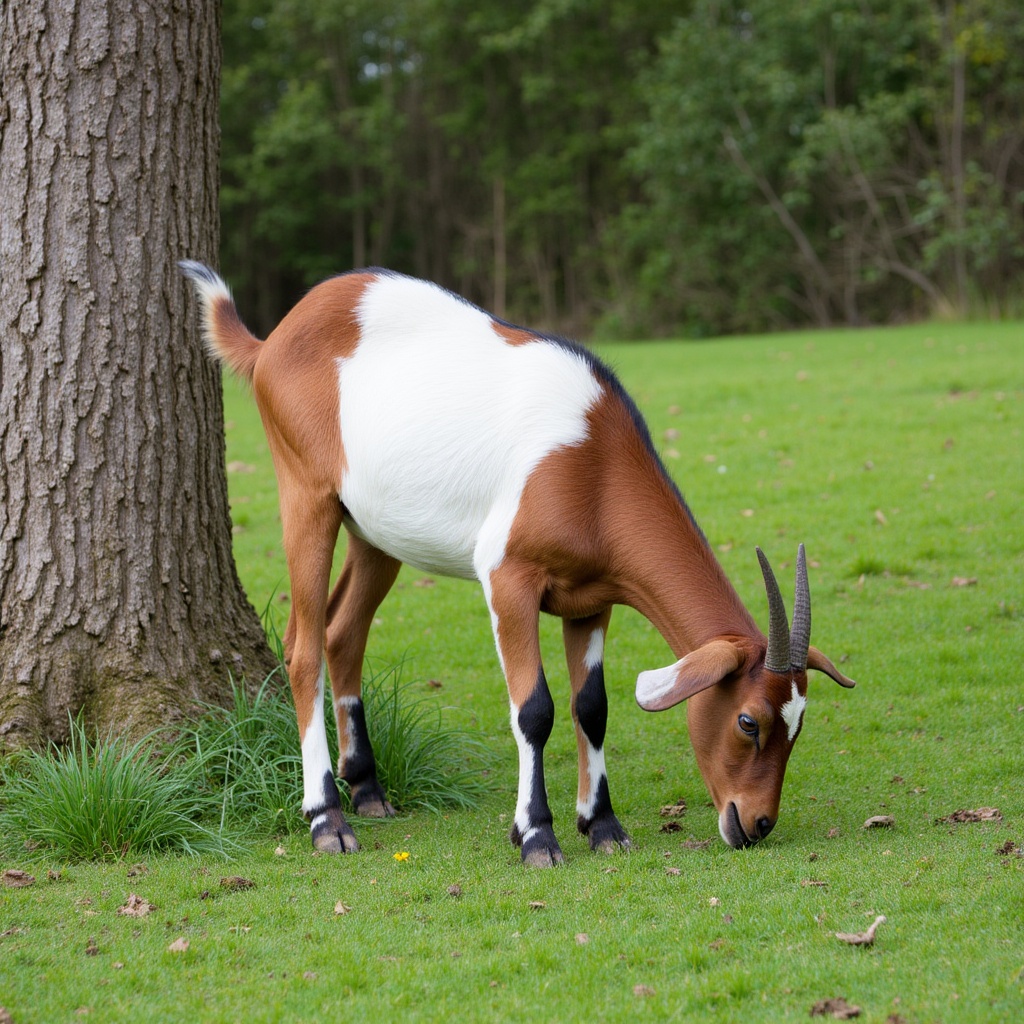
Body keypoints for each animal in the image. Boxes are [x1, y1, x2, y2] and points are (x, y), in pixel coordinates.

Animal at [180, 261, 855, 865]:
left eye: (797, 726)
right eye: (748, 721)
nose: (757, 823)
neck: (593, 464)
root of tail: (271, 343)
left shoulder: (591, 598)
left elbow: (592, 706)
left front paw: (602, 826)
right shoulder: (508, 578)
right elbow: (535, 709)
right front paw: (536, 835)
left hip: (376, 533)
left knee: (344, 630)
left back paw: (368, 790)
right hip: (307, 498)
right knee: (304, 648)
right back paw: (327, 820)